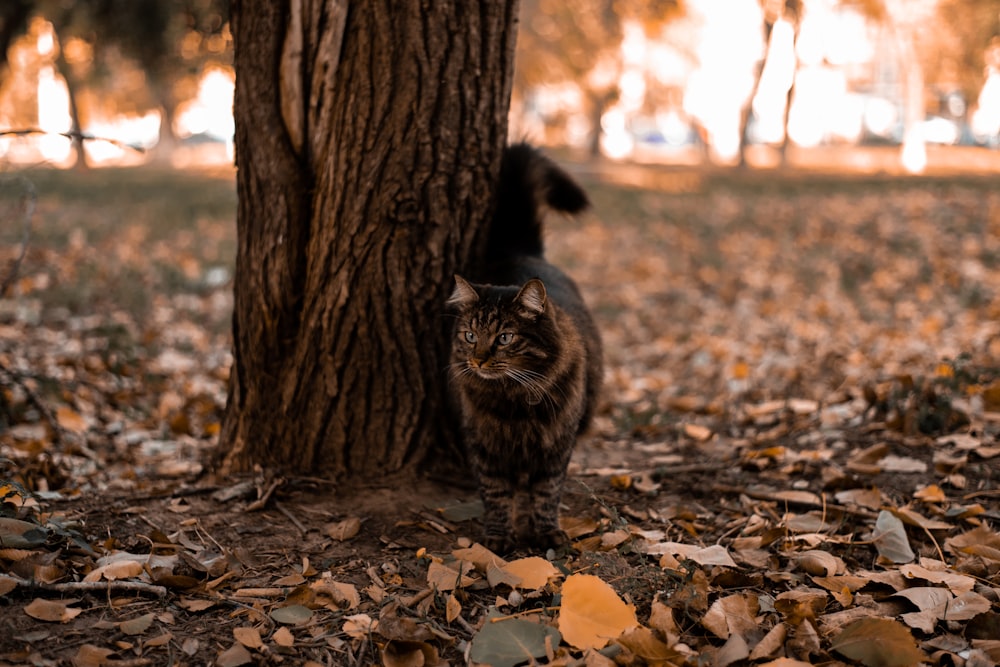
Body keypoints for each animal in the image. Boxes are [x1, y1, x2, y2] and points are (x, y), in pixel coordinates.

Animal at [448, 144, 600, 556]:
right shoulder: (484, 446)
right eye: (471, 335)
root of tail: (521, 250)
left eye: (504, 338)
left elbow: (546, 492)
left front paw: (545, 532)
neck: (513, 401)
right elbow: (496, 494)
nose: (478, 360)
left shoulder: (556, 445)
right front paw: (500, 537)